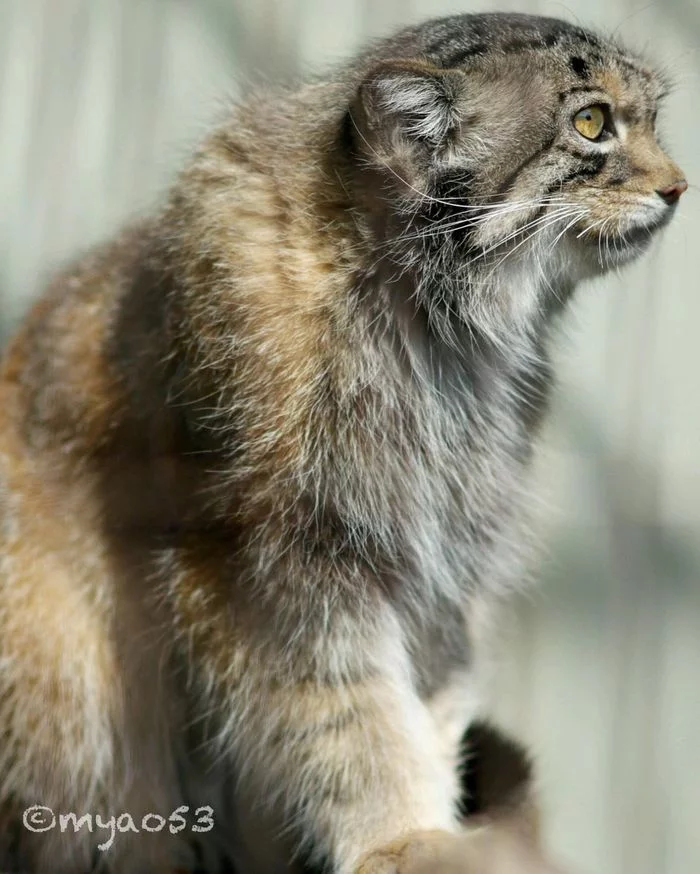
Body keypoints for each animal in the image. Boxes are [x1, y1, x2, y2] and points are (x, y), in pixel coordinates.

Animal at [0, 10, 688, 872]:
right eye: (593, 124)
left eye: (654, 119)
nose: (679, 187)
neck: (440, 340)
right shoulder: (275, 568)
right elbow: (351, 716)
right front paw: (404, 835)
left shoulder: (446, 567)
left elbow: (430, 707)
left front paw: (440, 821)